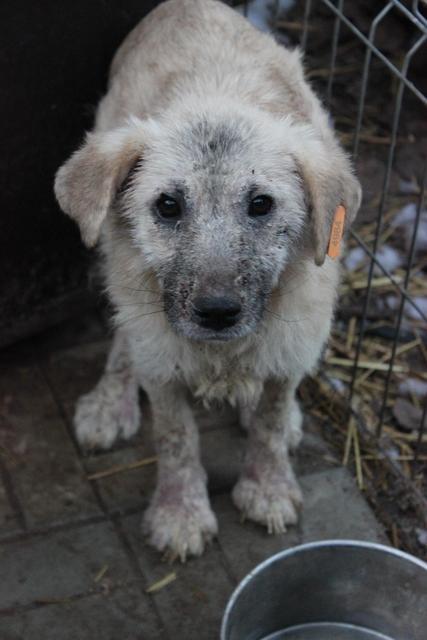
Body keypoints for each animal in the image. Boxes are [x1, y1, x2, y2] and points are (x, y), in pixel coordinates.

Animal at [53, 0, 362, 560]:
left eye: (261, 204)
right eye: (167, 205)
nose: (217, 313)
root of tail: (189, 5)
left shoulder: (292, 346)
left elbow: (268, 422)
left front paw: (268, 488)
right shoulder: (163, 364)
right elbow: (175, 437)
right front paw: (180, 513)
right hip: (117, 263)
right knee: (126, 336)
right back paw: (111, 400)